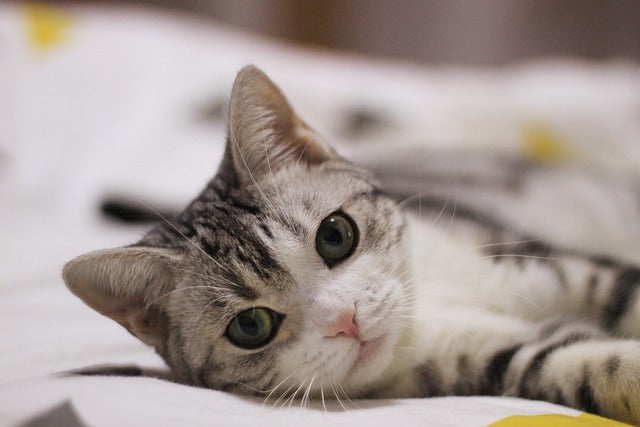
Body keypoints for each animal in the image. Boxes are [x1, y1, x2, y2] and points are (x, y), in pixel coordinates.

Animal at [63, 64, 640, 424]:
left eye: (335, 235)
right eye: (250, 327)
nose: (346, 320)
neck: (427, 304)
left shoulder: (532, 257)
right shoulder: (493, 360)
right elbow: (585, 364)